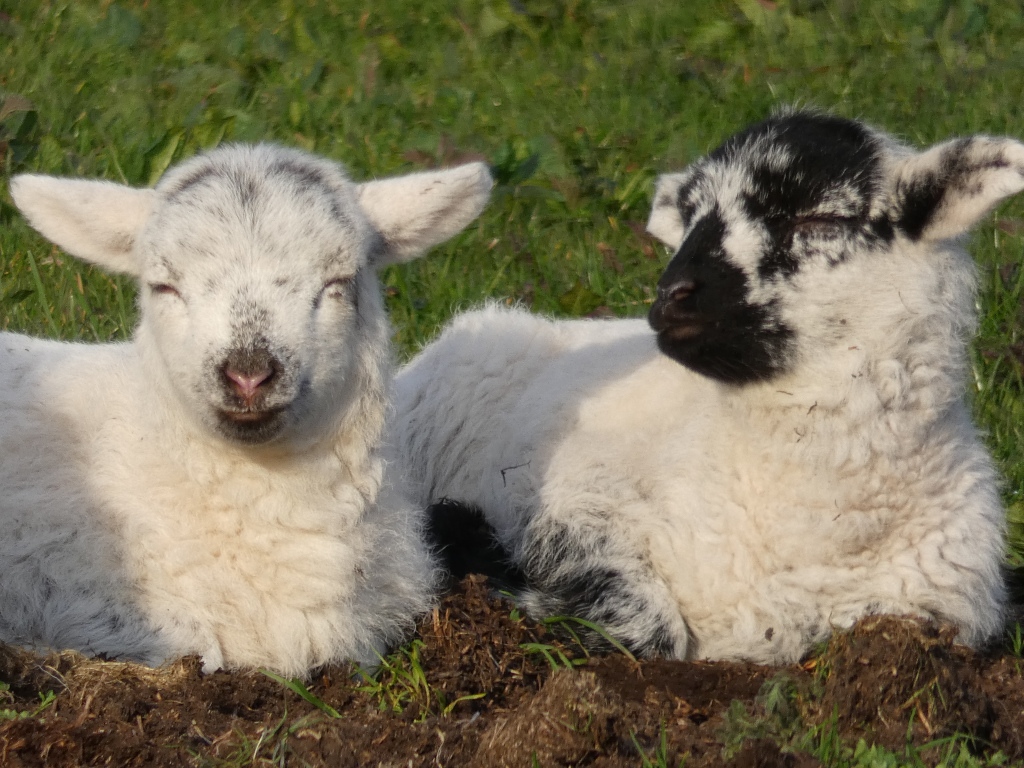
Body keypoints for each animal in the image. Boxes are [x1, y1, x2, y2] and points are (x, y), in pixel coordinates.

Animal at [391, 111, 1020, 664]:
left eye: (819, 219)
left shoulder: (938, 609)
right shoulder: (577, 500)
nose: (672, 295)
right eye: (692, 217)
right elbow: (649, 629)